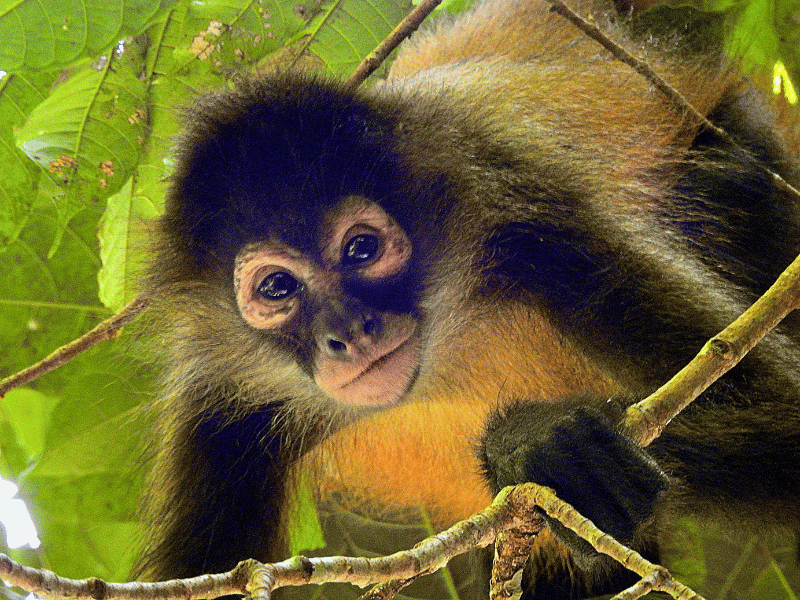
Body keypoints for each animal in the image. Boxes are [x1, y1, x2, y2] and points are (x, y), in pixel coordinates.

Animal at [136, 0, 800, 597]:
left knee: (730, 180)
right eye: (277, 287)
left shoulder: (526, 206)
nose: (349, 332)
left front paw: (535, 447)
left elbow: (781, 422)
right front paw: (535, 451)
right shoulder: (215, 397)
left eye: (361, 249)